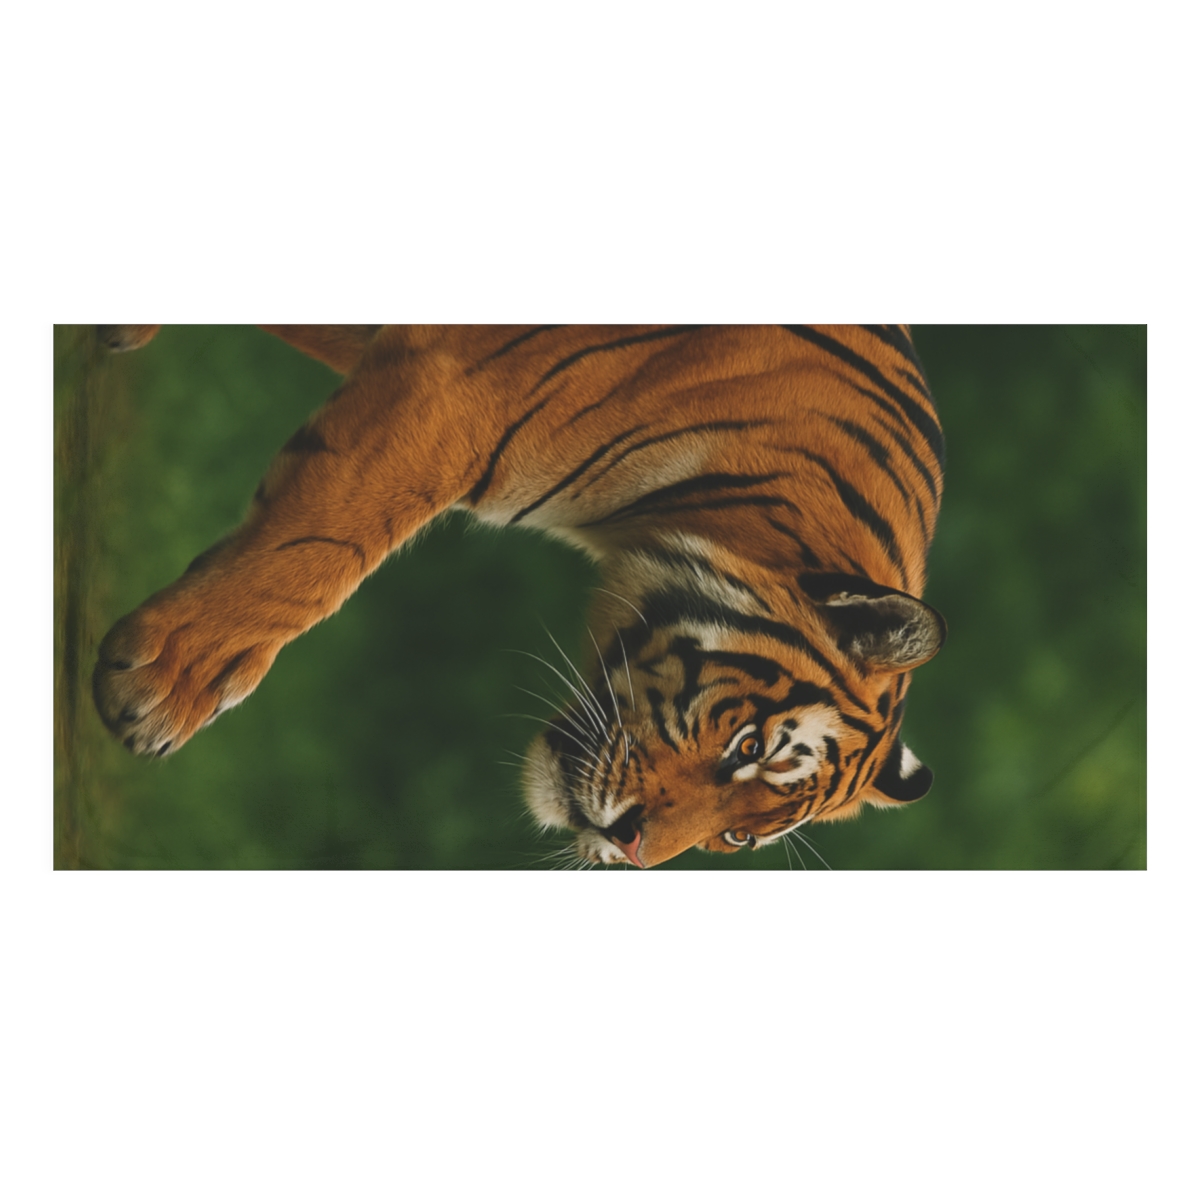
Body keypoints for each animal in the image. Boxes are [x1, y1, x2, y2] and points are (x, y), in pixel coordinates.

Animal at [92, 324, 946, 868]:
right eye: (749, 750)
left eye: (738, 840)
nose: (631, 850)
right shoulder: (450, 392)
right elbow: (324, 544)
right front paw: (165, 686)